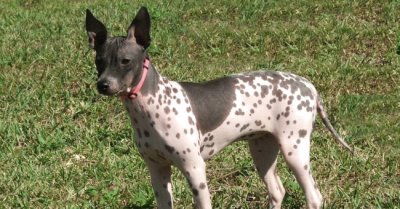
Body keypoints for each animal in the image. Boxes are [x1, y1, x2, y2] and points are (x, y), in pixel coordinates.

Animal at [85, 6, 354, 209]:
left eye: (125, 61)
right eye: (98, 61)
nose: (103, 85)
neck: (152, 105)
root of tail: (308, 86)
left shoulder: (194, 169)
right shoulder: (157, 169)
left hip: (294, 150)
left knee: (314, 197)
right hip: (262, 150)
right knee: (277, 191)